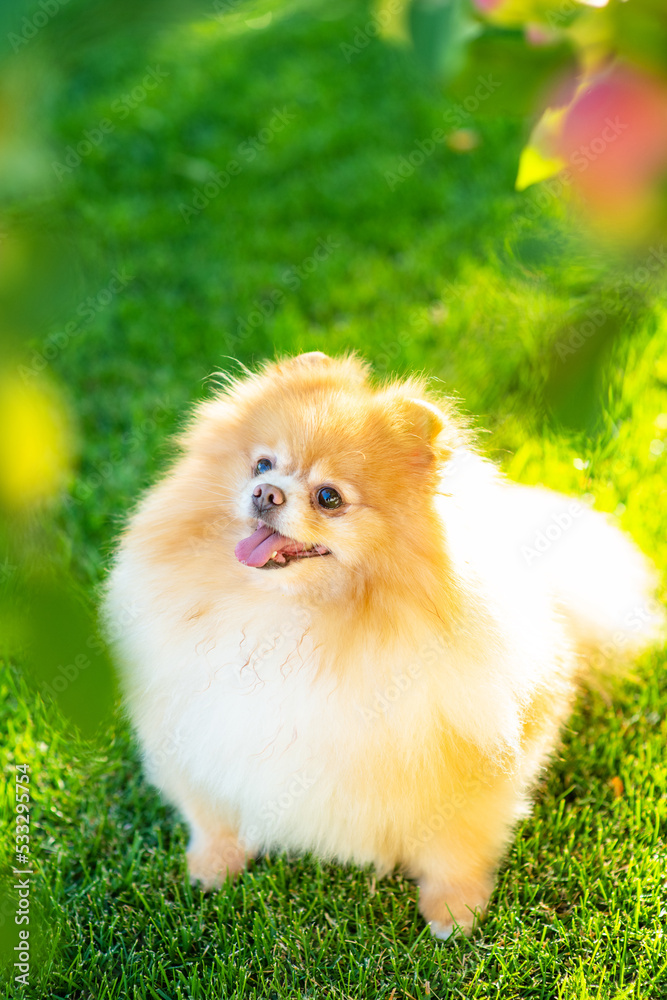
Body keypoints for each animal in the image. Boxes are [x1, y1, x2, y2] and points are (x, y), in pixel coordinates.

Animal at [104, 350, 664, 936]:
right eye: (261, 465)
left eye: (329, 497)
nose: (264, 493)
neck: (292, 616)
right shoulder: (200, 732)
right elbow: (211, 812)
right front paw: (213, 863)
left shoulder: (460, 766)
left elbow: (455, 848)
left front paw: (453, 911)